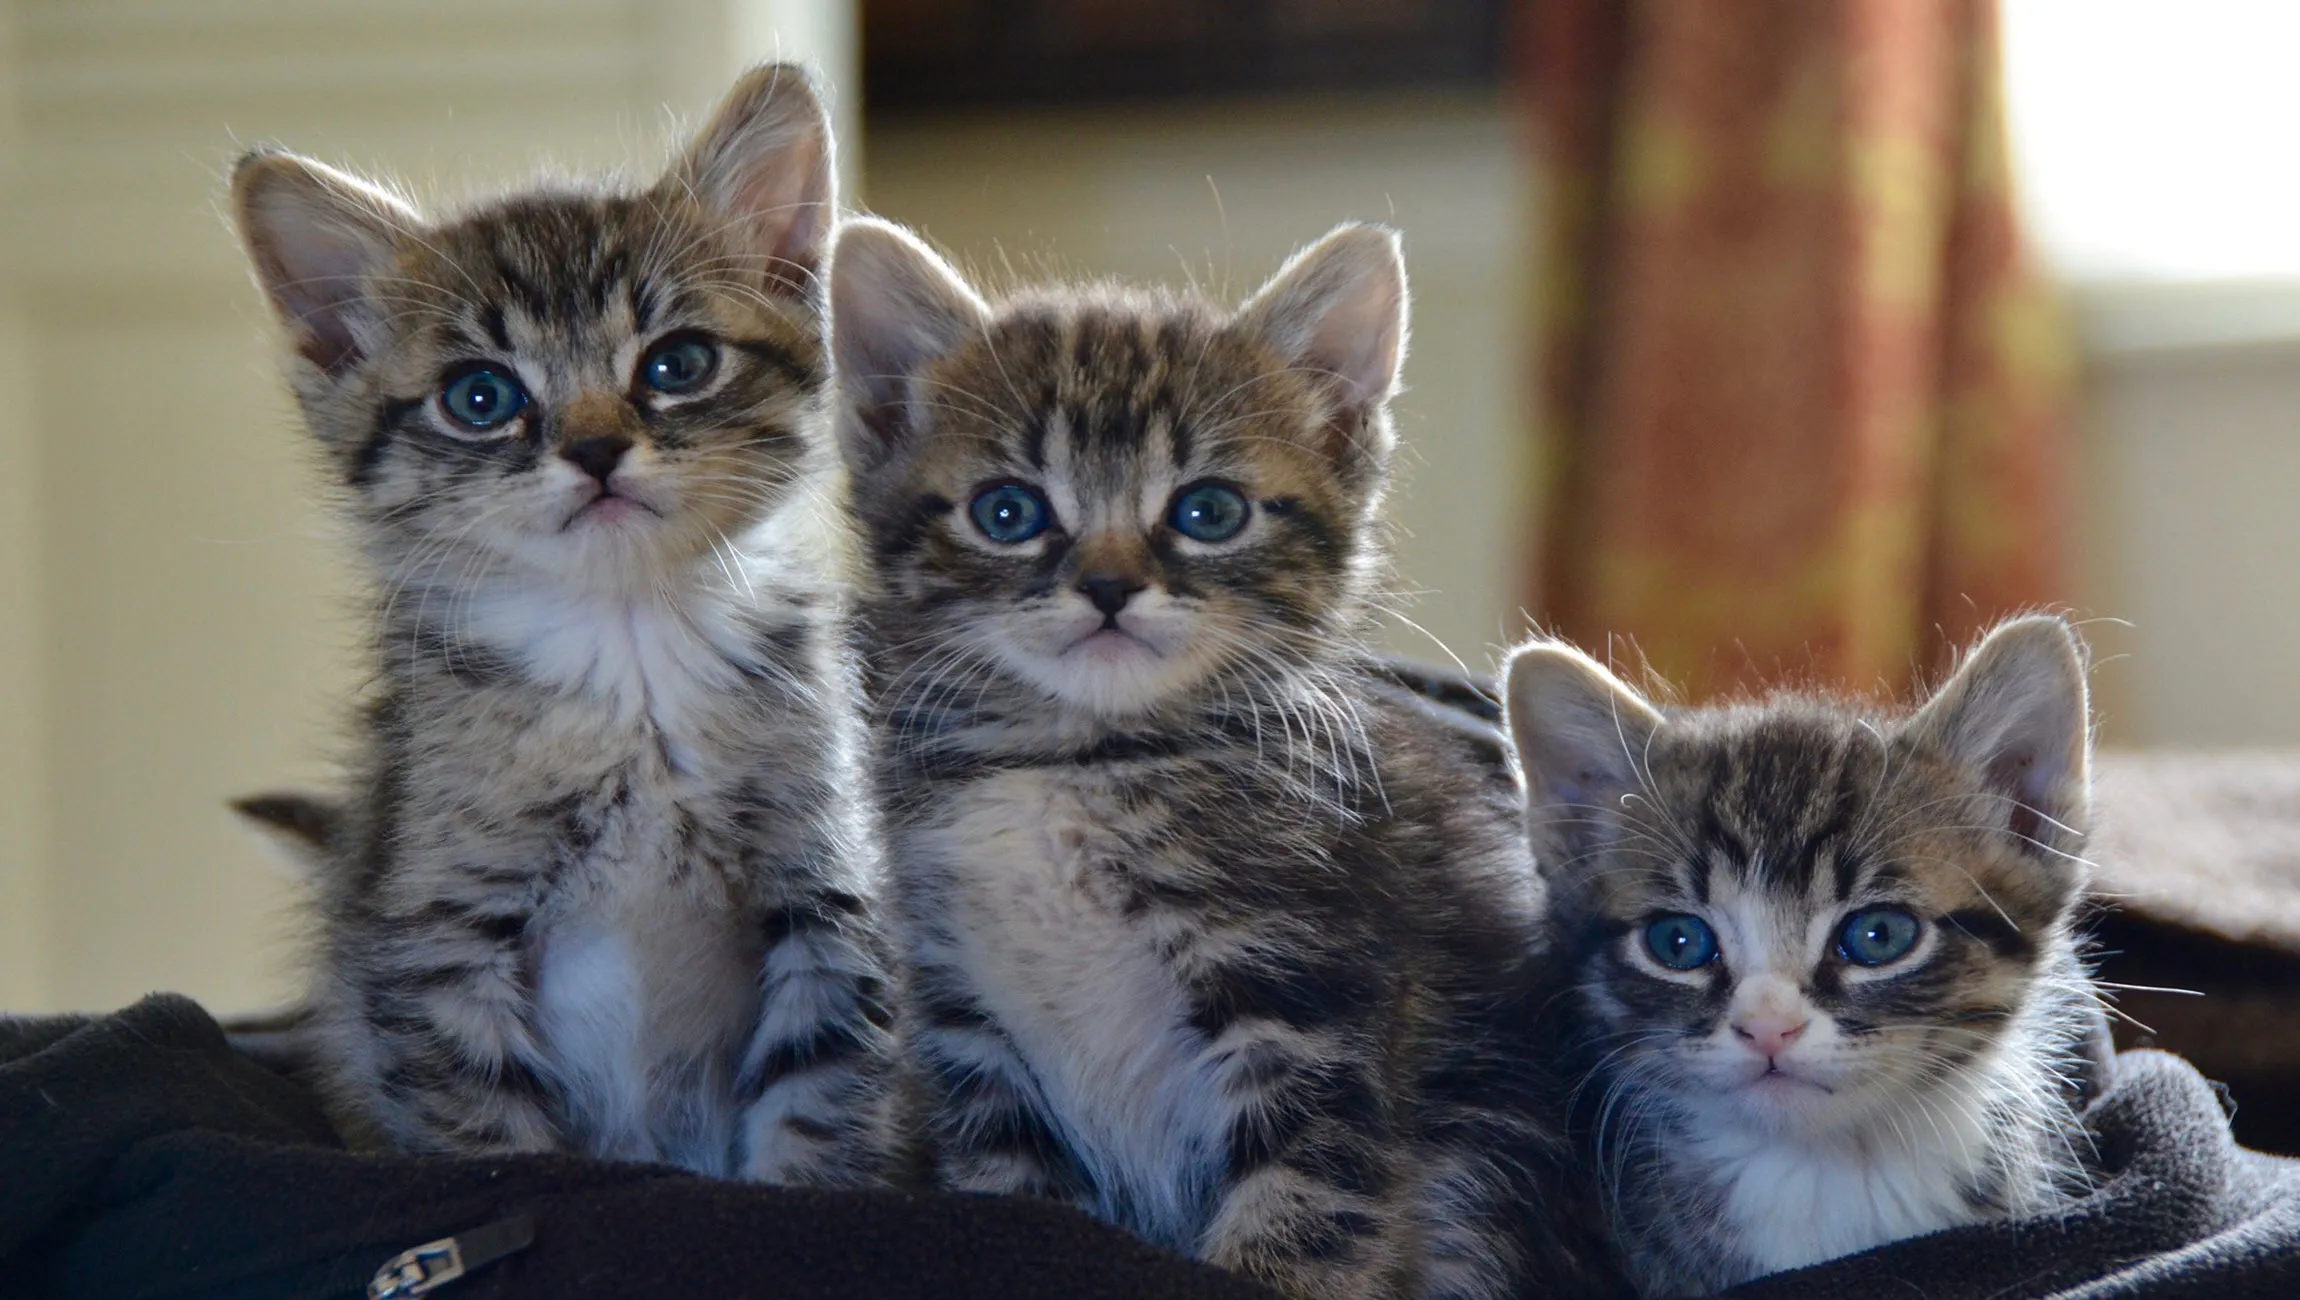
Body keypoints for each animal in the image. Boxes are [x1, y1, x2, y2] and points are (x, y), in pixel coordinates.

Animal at [228, 63, 897, 1187]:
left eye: (677, 364)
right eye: (480, 396)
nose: (593, 450)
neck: (627, 660)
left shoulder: (827, 904)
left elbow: (820, 1116)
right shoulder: (439, 934)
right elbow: (493, 1134)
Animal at [828, 217, 1619, 1288]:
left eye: (1208, 512)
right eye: (1006, 512)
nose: (1109, 587)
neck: (1083, 762)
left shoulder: (1310, 1000)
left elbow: (1305, 1210)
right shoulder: (970, 1028)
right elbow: (1014, 1204)